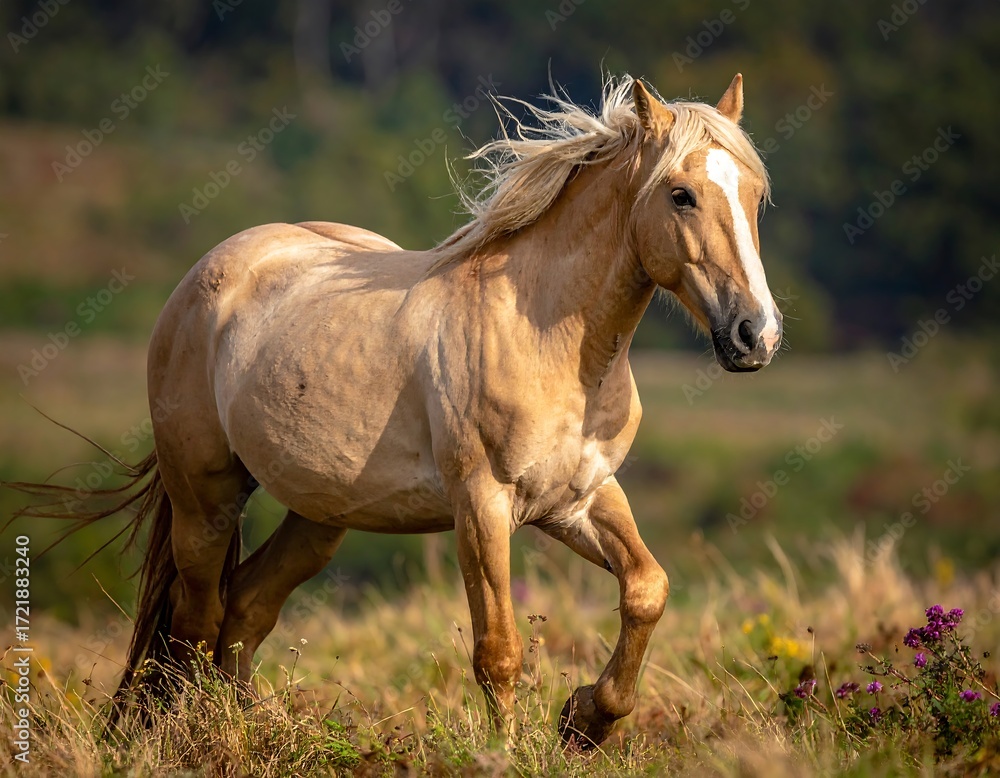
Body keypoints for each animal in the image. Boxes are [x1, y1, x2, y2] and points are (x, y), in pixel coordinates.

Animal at [16, 73, 781, 749]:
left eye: (755, 195)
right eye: (681, 195)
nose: (757, 335)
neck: (554, 344)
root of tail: (203, 279)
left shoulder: (579, 499)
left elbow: (647, 589)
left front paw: (585, 721)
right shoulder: (481, 506)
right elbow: (498, 651)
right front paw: (510, 752)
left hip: (319, 515)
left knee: (245, 611)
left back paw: (249, 731)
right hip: (206, 499)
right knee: (196, 625)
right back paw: (200, 739)